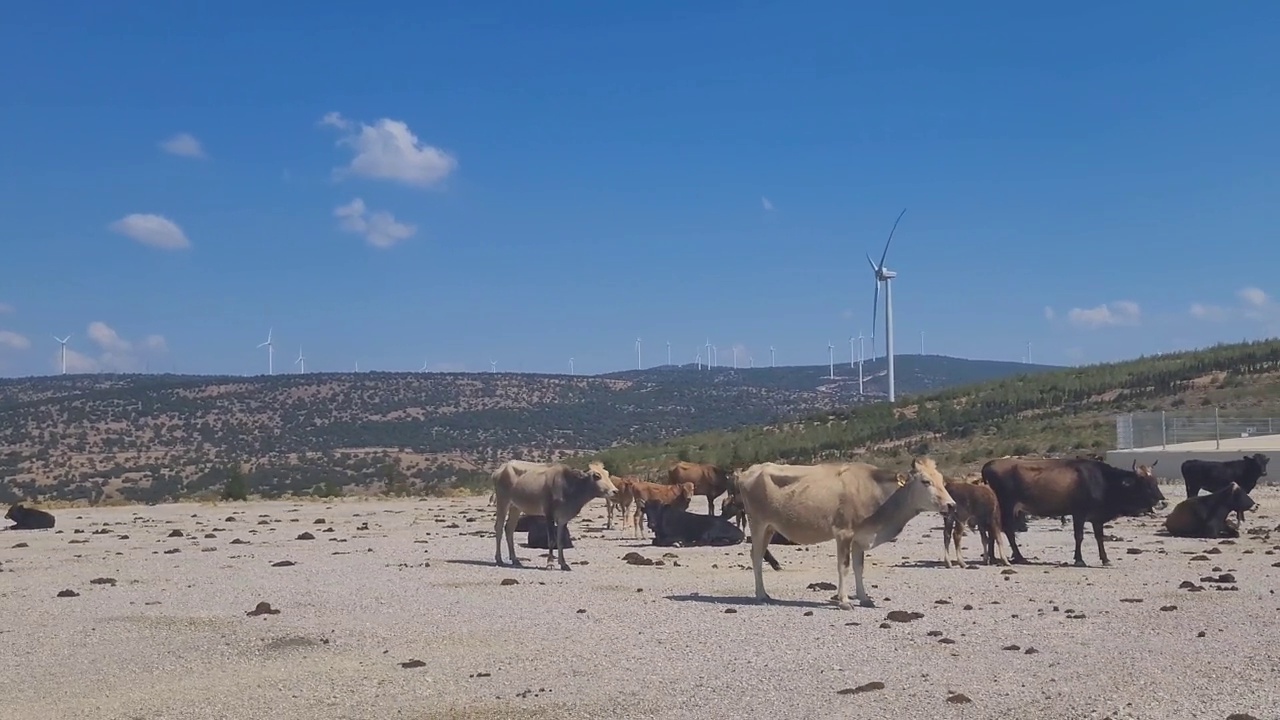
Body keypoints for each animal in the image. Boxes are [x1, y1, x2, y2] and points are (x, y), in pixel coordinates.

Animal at [977, 453, 1172, 566]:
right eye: (1143, 482)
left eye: (1155, 481)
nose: (1163, 502)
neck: (1103, 481)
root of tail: (989, 464)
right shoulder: (1079, 513)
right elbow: (1079, 536)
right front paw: (1079, 559)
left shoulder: (1097, 517)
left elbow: (1099, 537)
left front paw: (1105, 559)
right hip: (1007, 505)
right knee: (1006, 530)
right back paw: (1018, 557)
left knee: (993, 529)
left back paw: (994, 558)